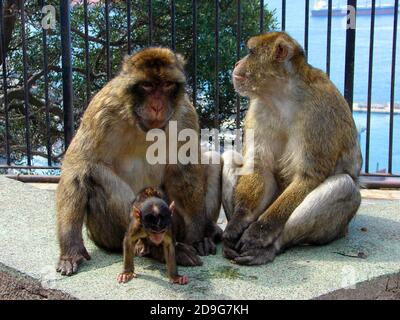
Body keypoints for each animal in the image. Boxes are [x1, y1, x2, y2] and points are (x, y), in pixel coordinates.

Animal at [55, 47, 222, 276]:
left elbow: (184, 170)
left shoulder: (185, 114)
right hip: (104, 234)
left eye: (167, 85)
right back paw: (154, 248)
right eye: (147, 85)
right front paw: (71, 250)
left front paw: (198, 237)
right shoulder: (102, 109)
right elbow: (78, 168)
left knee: (213, 160)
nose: (157, 106)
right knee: (94, 172)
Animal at [222, 32, 362, 266]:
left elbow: (308, 177)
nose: (236, 63)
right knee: (229, 156)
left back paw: (271, 247)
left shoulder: (320, 114)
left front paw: (259, 231)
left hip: (339, 229)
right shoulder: (258, 109)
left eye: (250, 52)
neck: (283, 97)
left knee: (344, 186)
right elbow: (259, 165)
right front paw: (238, 221)